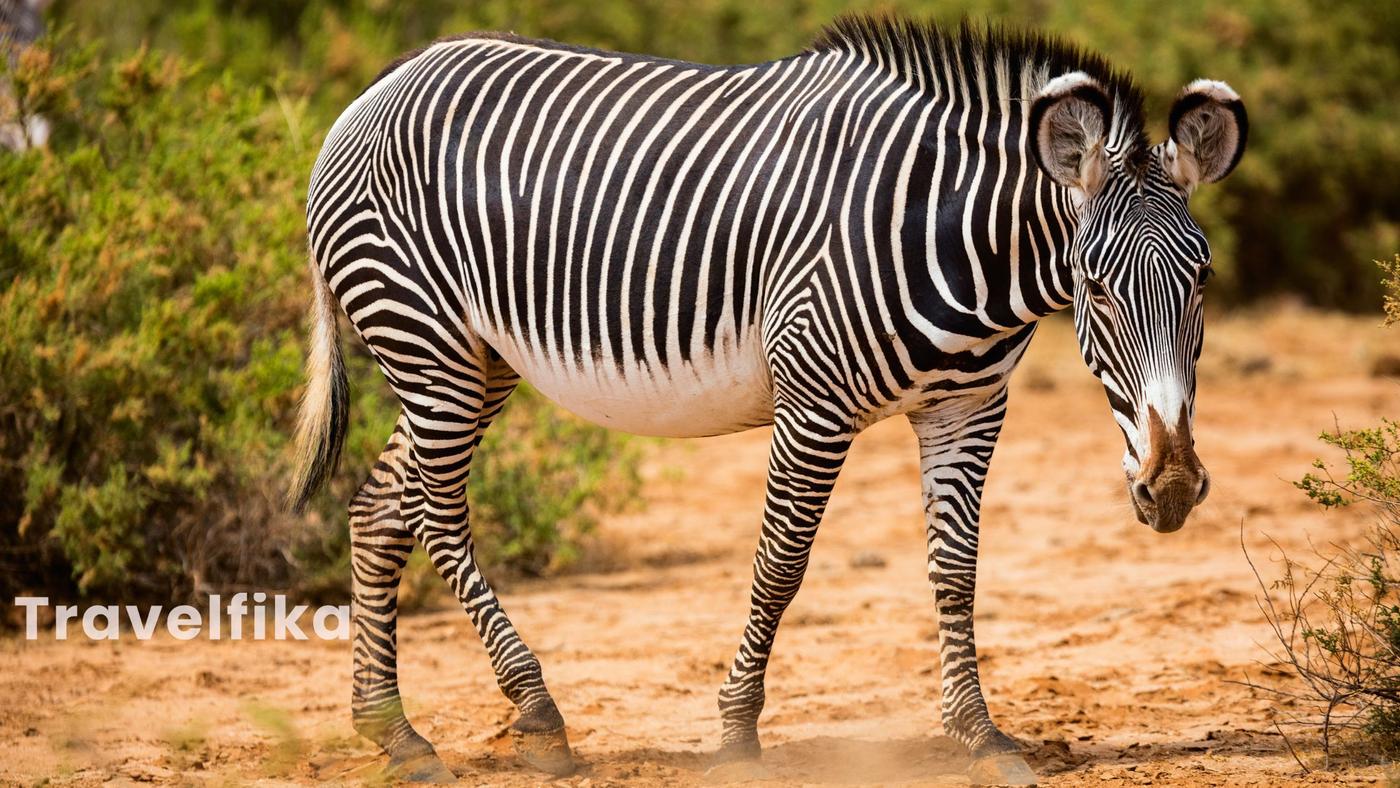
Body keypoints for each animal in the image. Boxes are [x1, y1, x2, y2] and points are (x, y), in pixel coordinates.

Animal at [293, 16, 1246, 784]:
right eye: (1097, 286)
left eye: (1202, 281)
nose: (1170, 488)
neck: (959, 246)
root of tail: (378, 86)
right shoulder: (814, 401)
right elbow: (781, 565)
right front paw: (736, 734)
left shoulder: (968, 405)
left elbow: (957, 568)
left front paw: (979, 734)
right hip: (429, 342)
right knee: (436, 513)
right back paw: (538, 717)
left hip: (479, 360)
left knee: (380, 506)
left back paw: (395, 734)